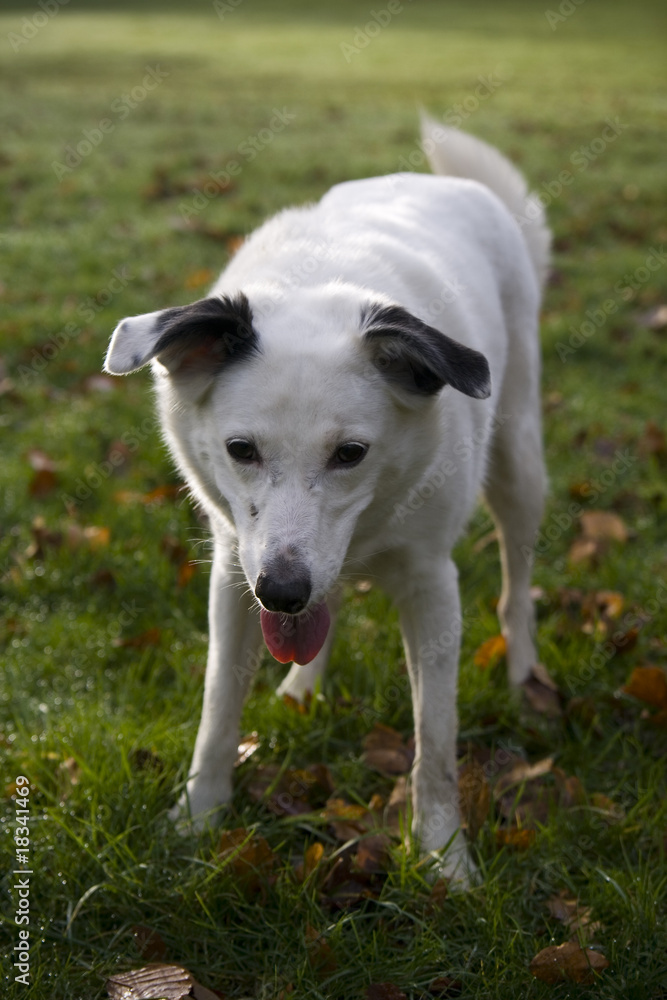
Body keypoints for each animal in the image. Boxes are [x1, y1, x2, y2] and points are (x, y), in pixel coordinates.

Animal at [105, 119, 552, 884]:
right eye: (240, 449)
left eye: (351, 453)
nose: (282, 591)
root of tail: (448, 183)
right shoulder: (238, 568)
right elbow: (218, 707)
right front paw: (197, 819)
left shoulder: (430, 584)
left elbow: (435, 742)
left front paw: (444, 859)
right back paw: (302, 687)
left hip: (518, 458)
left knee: (514, 584)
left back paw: (522, 670)